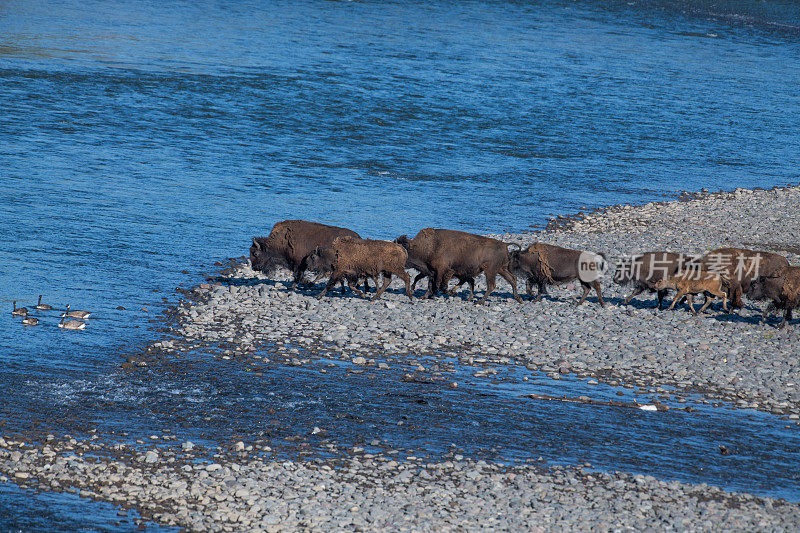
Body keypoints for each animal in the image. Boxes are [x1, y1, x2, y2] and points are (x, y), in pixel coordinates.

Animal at [392, 228, 520, 304]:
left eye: (402, 247)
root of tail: (504, 245)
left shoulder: (442, 271)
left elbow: (440, 285)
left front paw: (451, 293)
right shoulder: (432, 272)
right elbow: (431, 284)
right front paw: (425, 296)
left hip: (490, 271)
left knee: (492, 285)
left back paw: (479, 302)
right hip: (501, 269)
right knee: (512, 279)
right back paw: (518, 298)